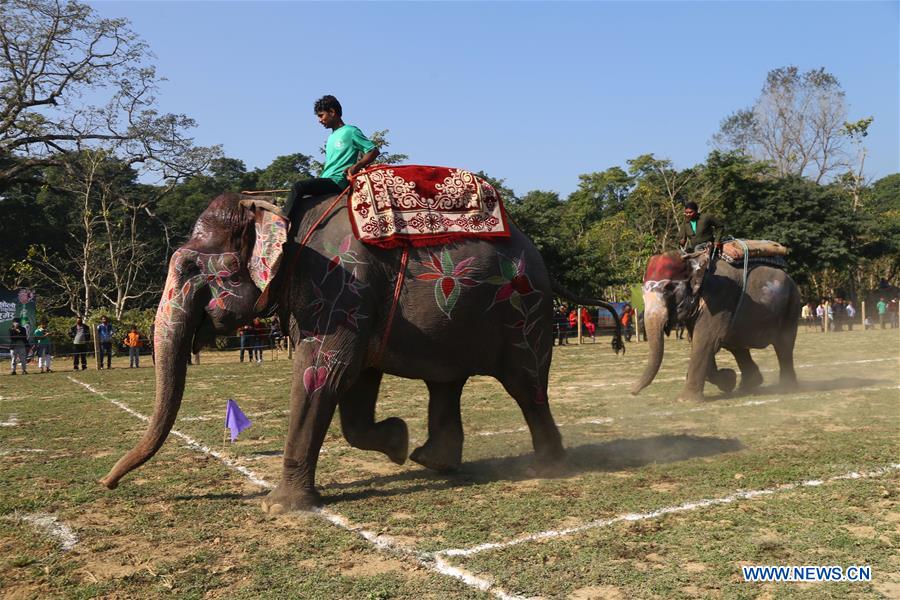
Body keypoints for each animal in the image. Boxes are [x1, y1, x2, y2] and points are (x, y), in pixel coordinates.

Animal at [98, 191, 620, 510]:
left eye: (190, 267)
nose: (107, 483)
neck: (276, 210)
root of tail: (542, 261)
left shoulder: (340, 284)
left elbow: (323, 372)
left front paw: (278, 508)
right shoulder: (353, 301)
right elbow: (354, 385)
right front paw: (396, 443)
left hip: (521, 312)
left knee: (526, 385)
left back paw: (546, 468)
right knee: (446, 383)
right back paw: (431, 461)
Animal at [632, 250, 800, 404]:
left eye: (668, 288)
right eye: (641, 292)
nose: (632, 392)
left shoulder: (719, 298)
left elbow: (705, 341)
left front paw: (685, 401)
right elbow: (701, 342)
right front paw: (729, 380)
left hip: (791, 305)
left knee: (784, 345)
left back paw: (787, 388)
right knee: (736, 345)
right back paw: (749, 385)